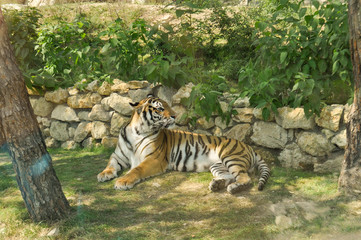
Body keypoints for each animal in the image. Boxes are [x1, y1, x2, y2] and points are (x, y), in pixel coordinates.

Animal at [97, 94, 268, 194]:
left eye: (168, 105)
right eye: (160, 108)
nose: (175, 115)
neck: (137, 132)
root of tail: (249, 147)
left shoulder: (154, 158)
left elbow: (136, 169)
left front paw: (123, 181)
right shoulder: (118, 156)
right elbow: (110, 164)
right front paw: (104, 174)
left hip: (231, 157)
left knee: (245, 178)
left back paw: (233, 188)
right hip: (217, 165)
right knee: (230, 176)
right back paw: (217, 185)